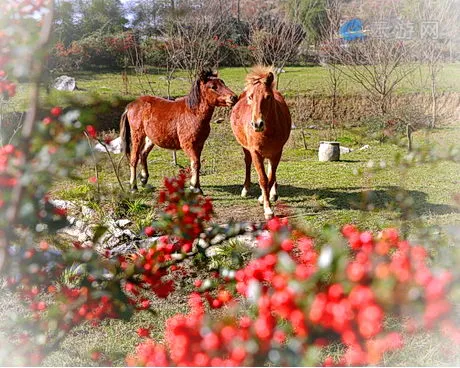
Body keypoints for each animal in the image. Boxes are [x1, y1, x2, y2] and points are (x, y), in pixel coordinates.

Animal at [230, 66, 292, 218]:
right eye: (251, 97)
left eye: (268, 97)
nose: (257, 124)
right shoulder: (255, 152)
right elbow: (263, 179)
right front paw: (267, 208)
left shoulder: (277, 152)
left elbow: (270, 177)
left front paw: (264, 199)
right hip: (246, 148)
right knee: (247, 163)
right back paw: (246, 189)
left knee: (270, 171)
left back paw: (272, 194)